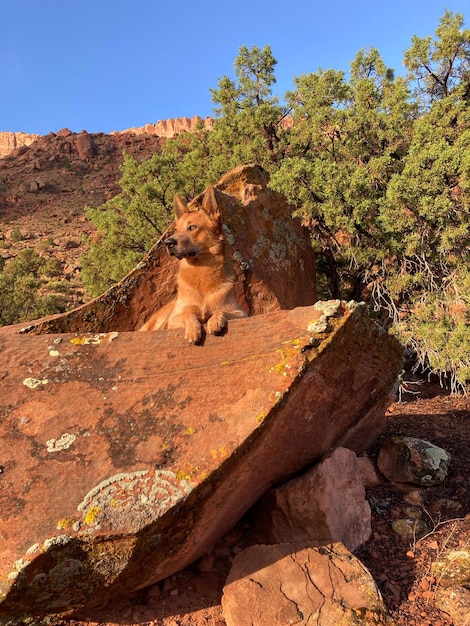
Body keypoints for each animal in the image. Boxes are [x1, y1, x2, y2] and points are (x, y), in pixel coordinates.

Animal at [139, 183, 246, 344]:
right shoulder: (174, 319)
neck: (201, 271)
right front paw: (193, 329)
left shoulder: (240, 312)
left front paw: (215, 320)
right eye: (176, 229)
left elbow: (222, 311)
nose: (168, 243)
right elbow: (189, 315)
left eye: (192, 227)